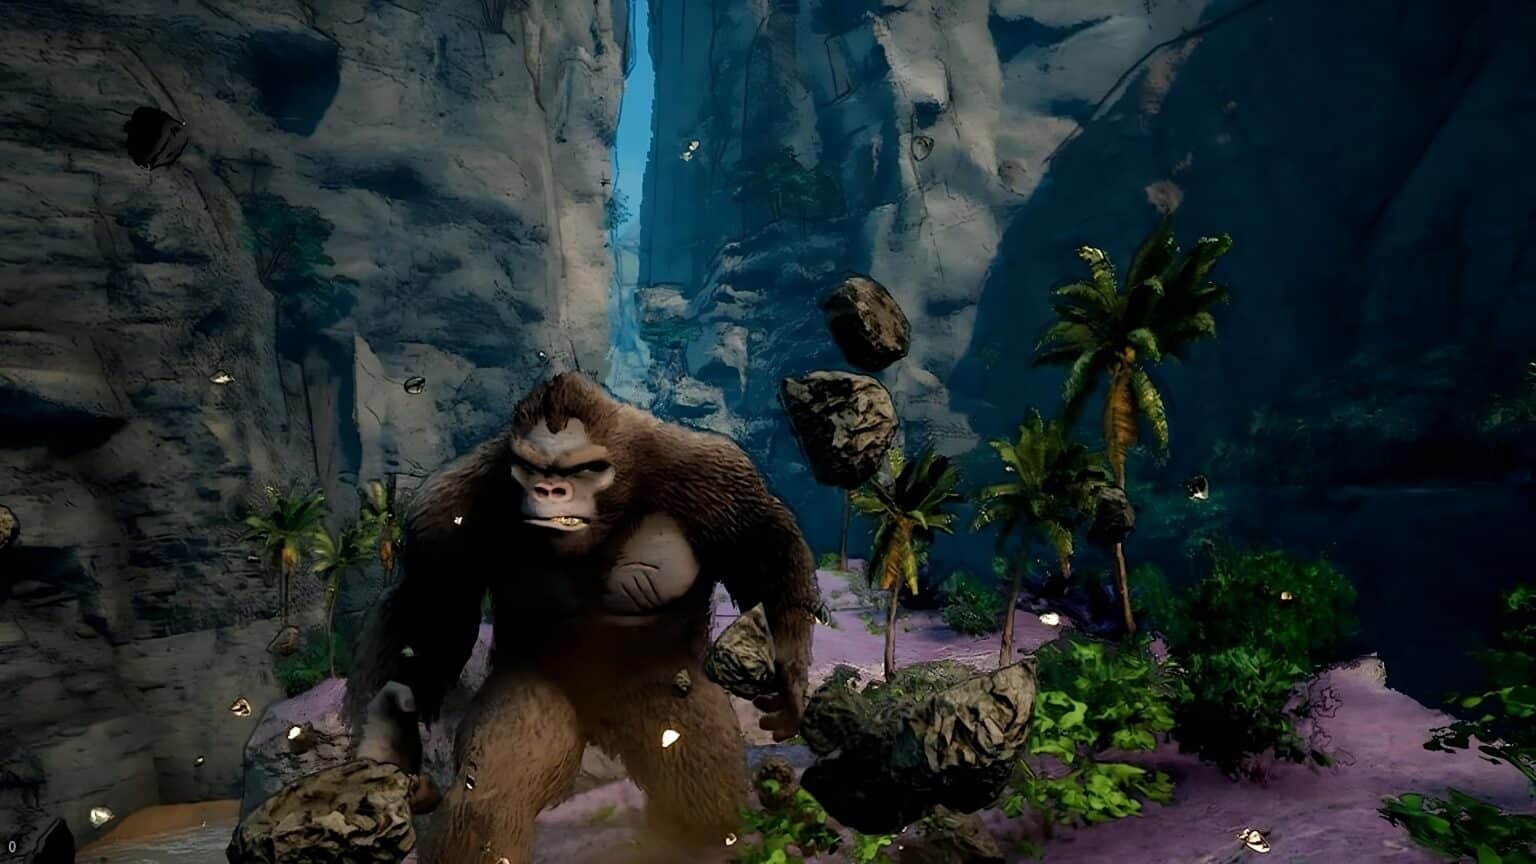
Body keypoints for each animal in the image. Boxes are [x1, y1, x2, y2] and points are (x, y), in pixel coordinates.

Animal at [346, 372, 819, 863]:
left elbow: (764, 543)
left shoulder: (714, 472)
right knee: (491, 795)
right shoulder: (445, 509)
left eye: (582, 469)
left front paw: (789, 678)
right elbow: (428, 603)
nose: (550, 491)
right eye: (530, 467)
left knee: (704, 803)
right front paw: (385, 744)